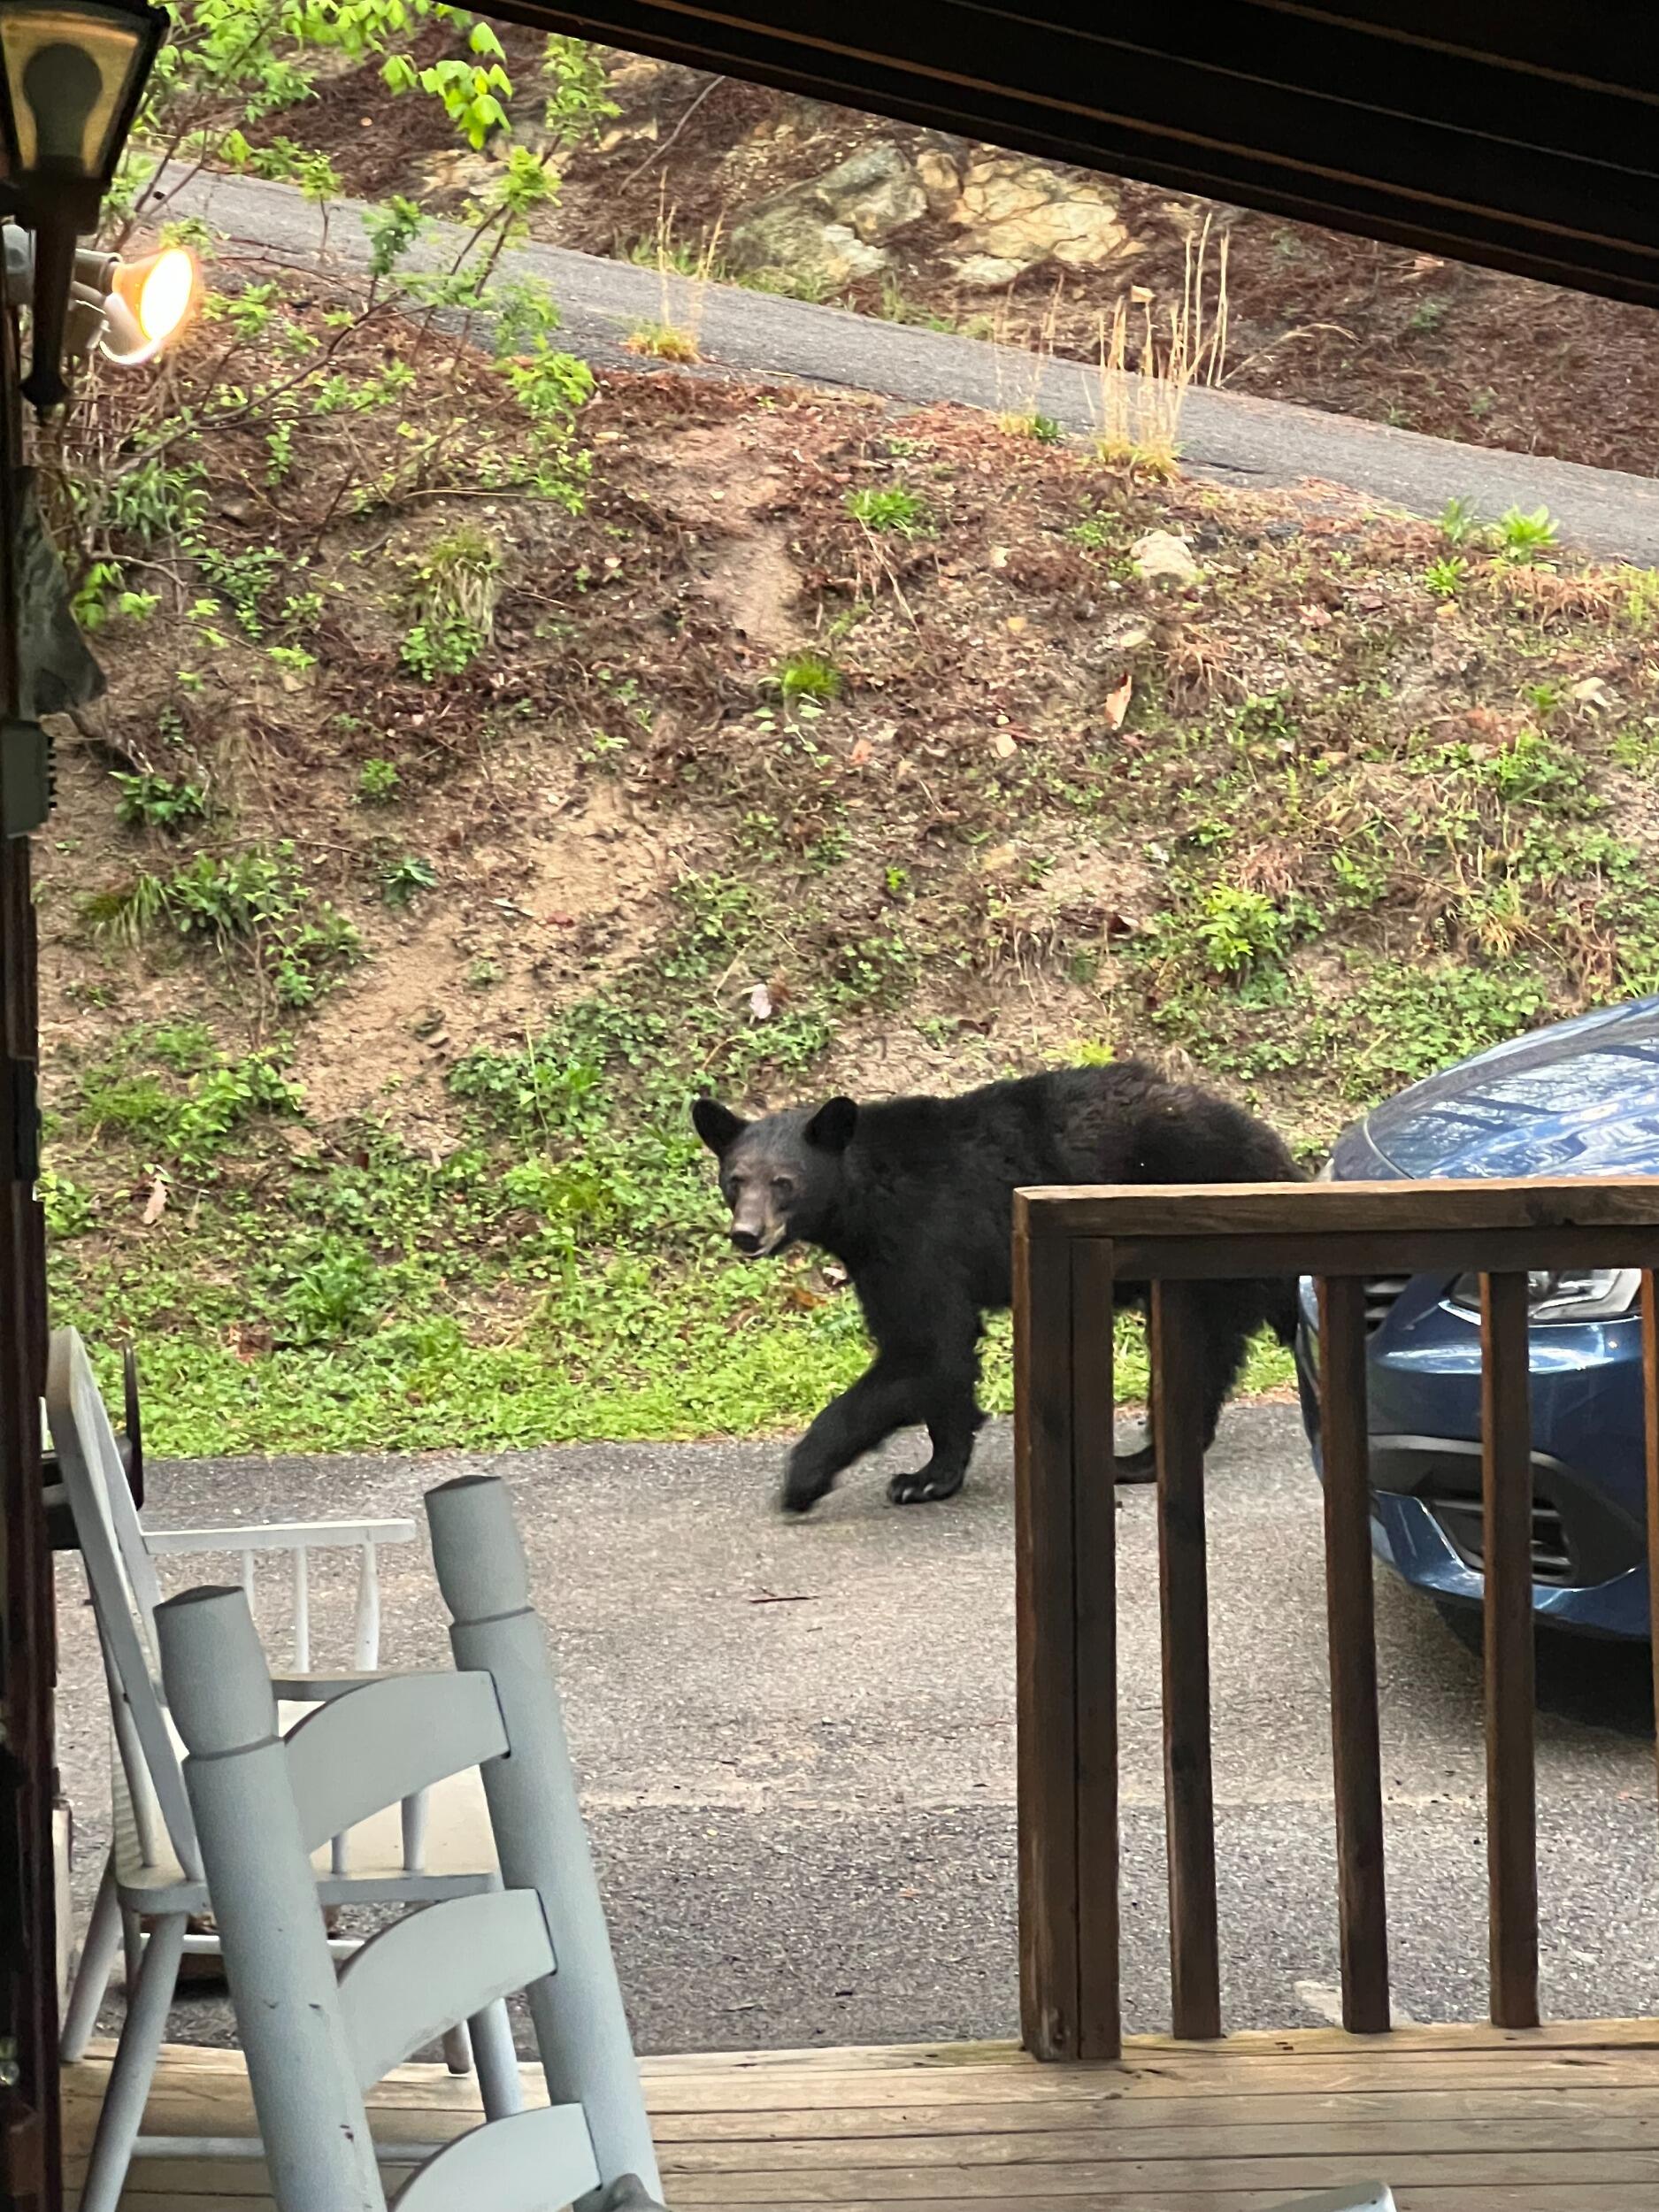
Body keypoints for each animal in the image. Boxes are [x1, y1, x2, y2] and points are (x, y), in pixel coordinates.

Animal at [692, 1060, 1303, 1515]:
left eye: (784, 1182)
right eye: (735, 1180)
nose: (746, 1234)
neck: (866, 1196)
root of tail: (1277, 1157)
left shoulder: (919, 1237)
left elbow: (924, 1351)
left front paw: (807, 1477)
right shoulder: (883, 1258)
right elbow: (940, 1361)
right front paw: (932, 1475)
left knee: (1195, 1352)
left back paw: (1139, 1460)